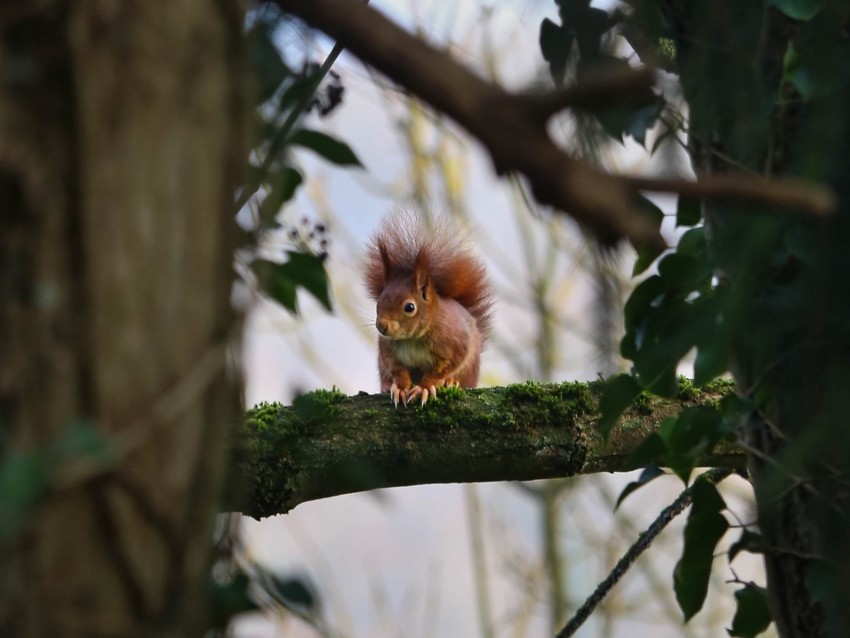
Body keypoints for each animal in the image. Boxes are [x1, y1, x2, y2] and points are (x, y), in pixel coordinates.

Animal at [362, 212, 490, 408]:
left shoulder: (455, 344)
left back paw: (452, 382)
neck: (412, 339)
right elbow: (398, 370)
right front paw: (399, 387)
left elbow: (442, 369)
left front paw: (425, 387)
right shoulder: (389, 351)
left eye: (409, 307)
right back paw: (386, 385)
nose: (381, 326)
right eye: (380, 300)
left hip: (470, 369)